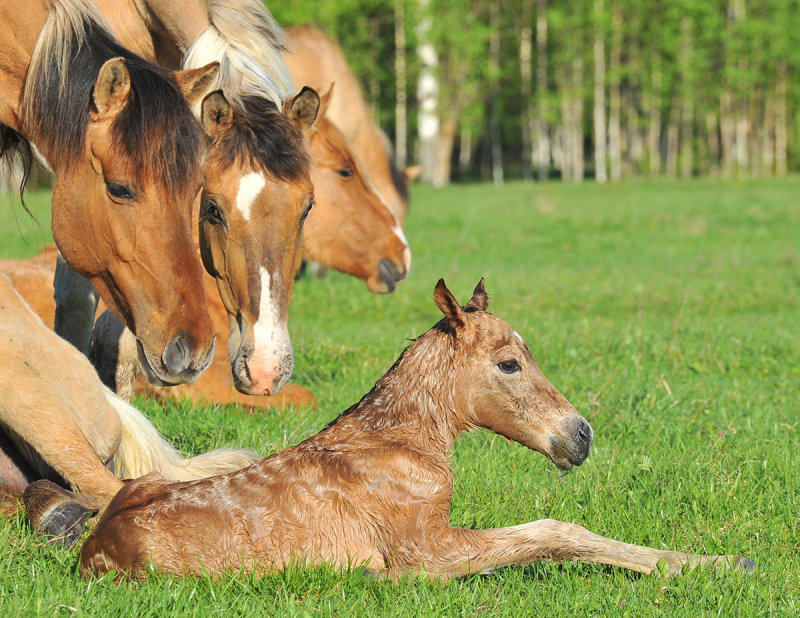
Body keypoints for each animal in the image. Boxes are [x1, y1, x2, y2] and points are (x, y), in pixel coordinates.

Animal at [78, 282, 752, 580]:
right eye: (509, 363)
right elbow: (552, 532)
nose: (580, 434)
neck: (402, 442)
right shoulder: (426, 554)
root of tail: (92, 551)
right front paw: (713, 564)